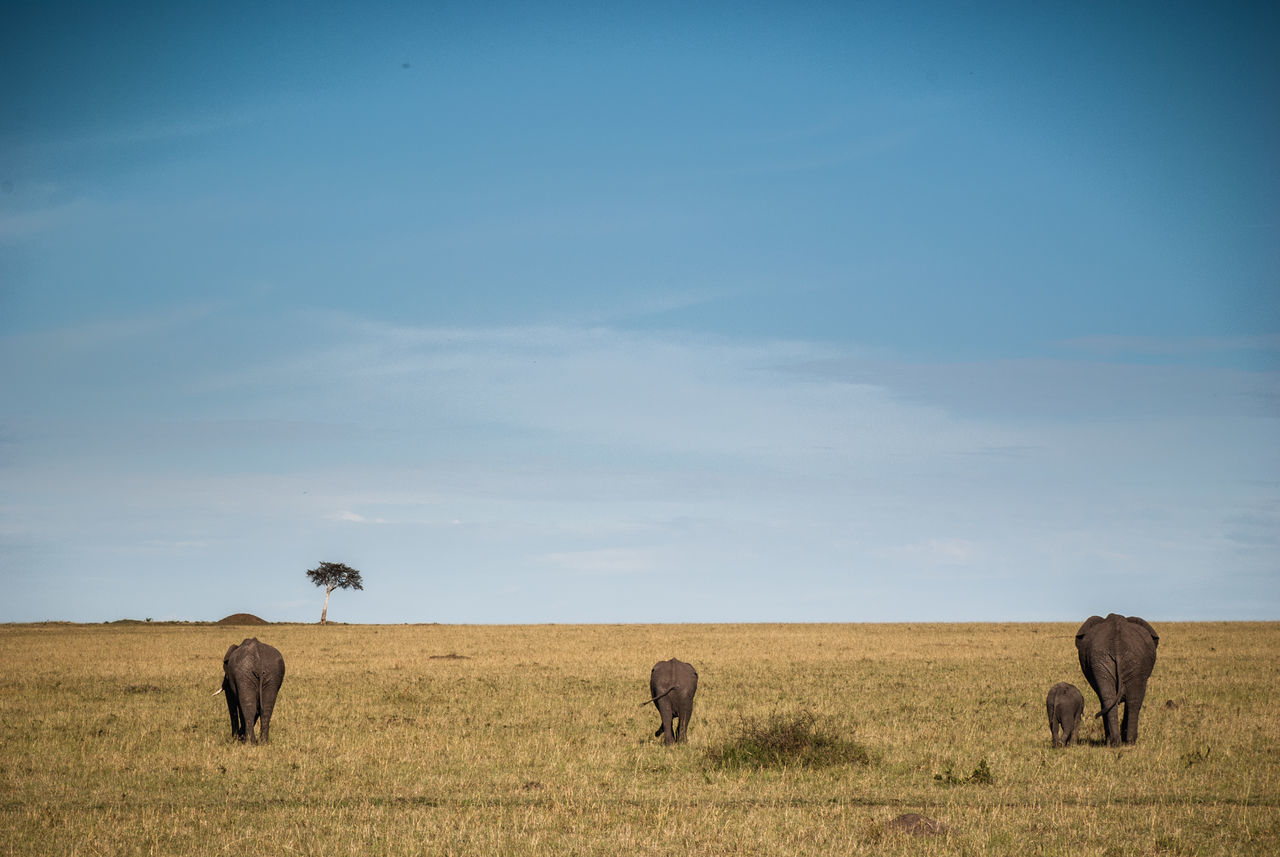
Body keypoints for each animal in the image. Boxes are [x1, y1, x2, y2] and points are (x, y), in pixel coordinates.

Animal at [1070, 613, 1162, 746]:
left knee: (1111, 699)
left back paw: (1116, 742)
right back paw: (1126, 742)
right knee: (1132, 700)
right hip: (1114, 660)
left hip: (1109, 660)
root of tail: (1117, 643)